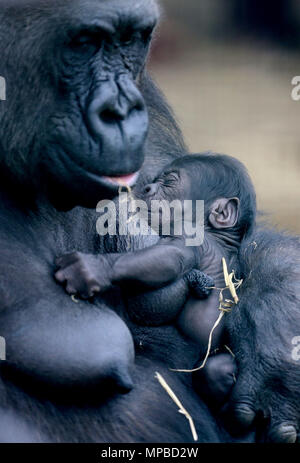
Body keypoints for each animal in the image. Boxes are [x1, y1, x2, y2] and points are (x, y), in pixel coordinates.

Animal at [55, 154, 255, 408]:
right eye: (155, 180)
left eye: (169, 182)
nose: (148, 188)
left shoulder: (188, 235)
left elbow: (167, 261)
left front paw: (91, 269)